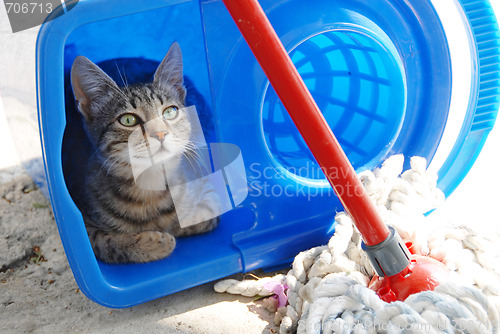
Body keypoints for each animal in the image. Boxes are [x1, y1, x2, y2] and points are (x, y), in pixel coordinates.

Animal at [70, 42, 219, 264]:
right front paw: (155, 243)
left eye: (170, 112)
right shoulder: (85, 223)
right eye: (128, 120)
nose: (160, 133)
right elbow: (106, 242)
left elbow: (202, 215)